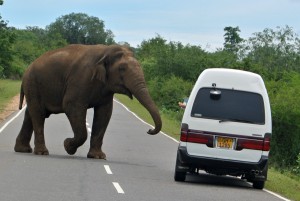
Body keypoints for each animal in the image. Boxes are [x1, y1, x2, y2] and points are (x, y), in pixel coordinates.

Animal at [14, 44, 162, 159]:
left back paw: (23, 150)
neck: (106, 51)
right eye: (122, 69)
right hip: (33, 85)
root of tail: (27, 70)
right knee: (38, 114)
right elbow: (71, 106)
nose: (149, 130)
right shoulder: (81, 78)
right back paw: (42, 153)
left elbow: (104, 113)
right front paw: (68, 146)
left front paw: (97, 157)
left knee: (31, 114)